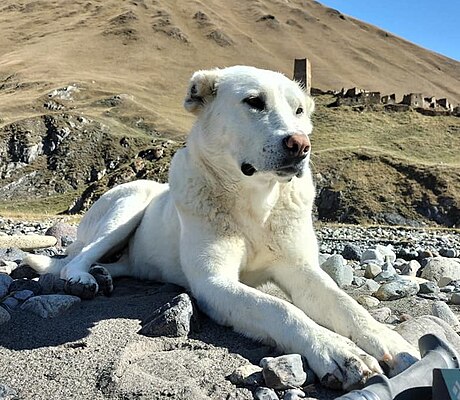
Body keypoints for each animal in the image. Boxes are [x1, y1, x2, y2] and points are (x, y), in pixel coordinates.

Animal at [25, 65, 420, 390]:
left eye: (299, 111)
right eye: (254, 102)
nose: (300, 144)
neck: (255, 202)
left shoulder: (301, 268)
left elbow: (347, 305)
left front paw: (391, 342)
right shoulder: (215, 283)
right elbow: (280, 309)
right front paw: (337, 351)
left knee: (118, 264)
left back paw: (105, 274)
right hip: (128, 203)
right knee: (75, 258)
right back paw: (83, 277)